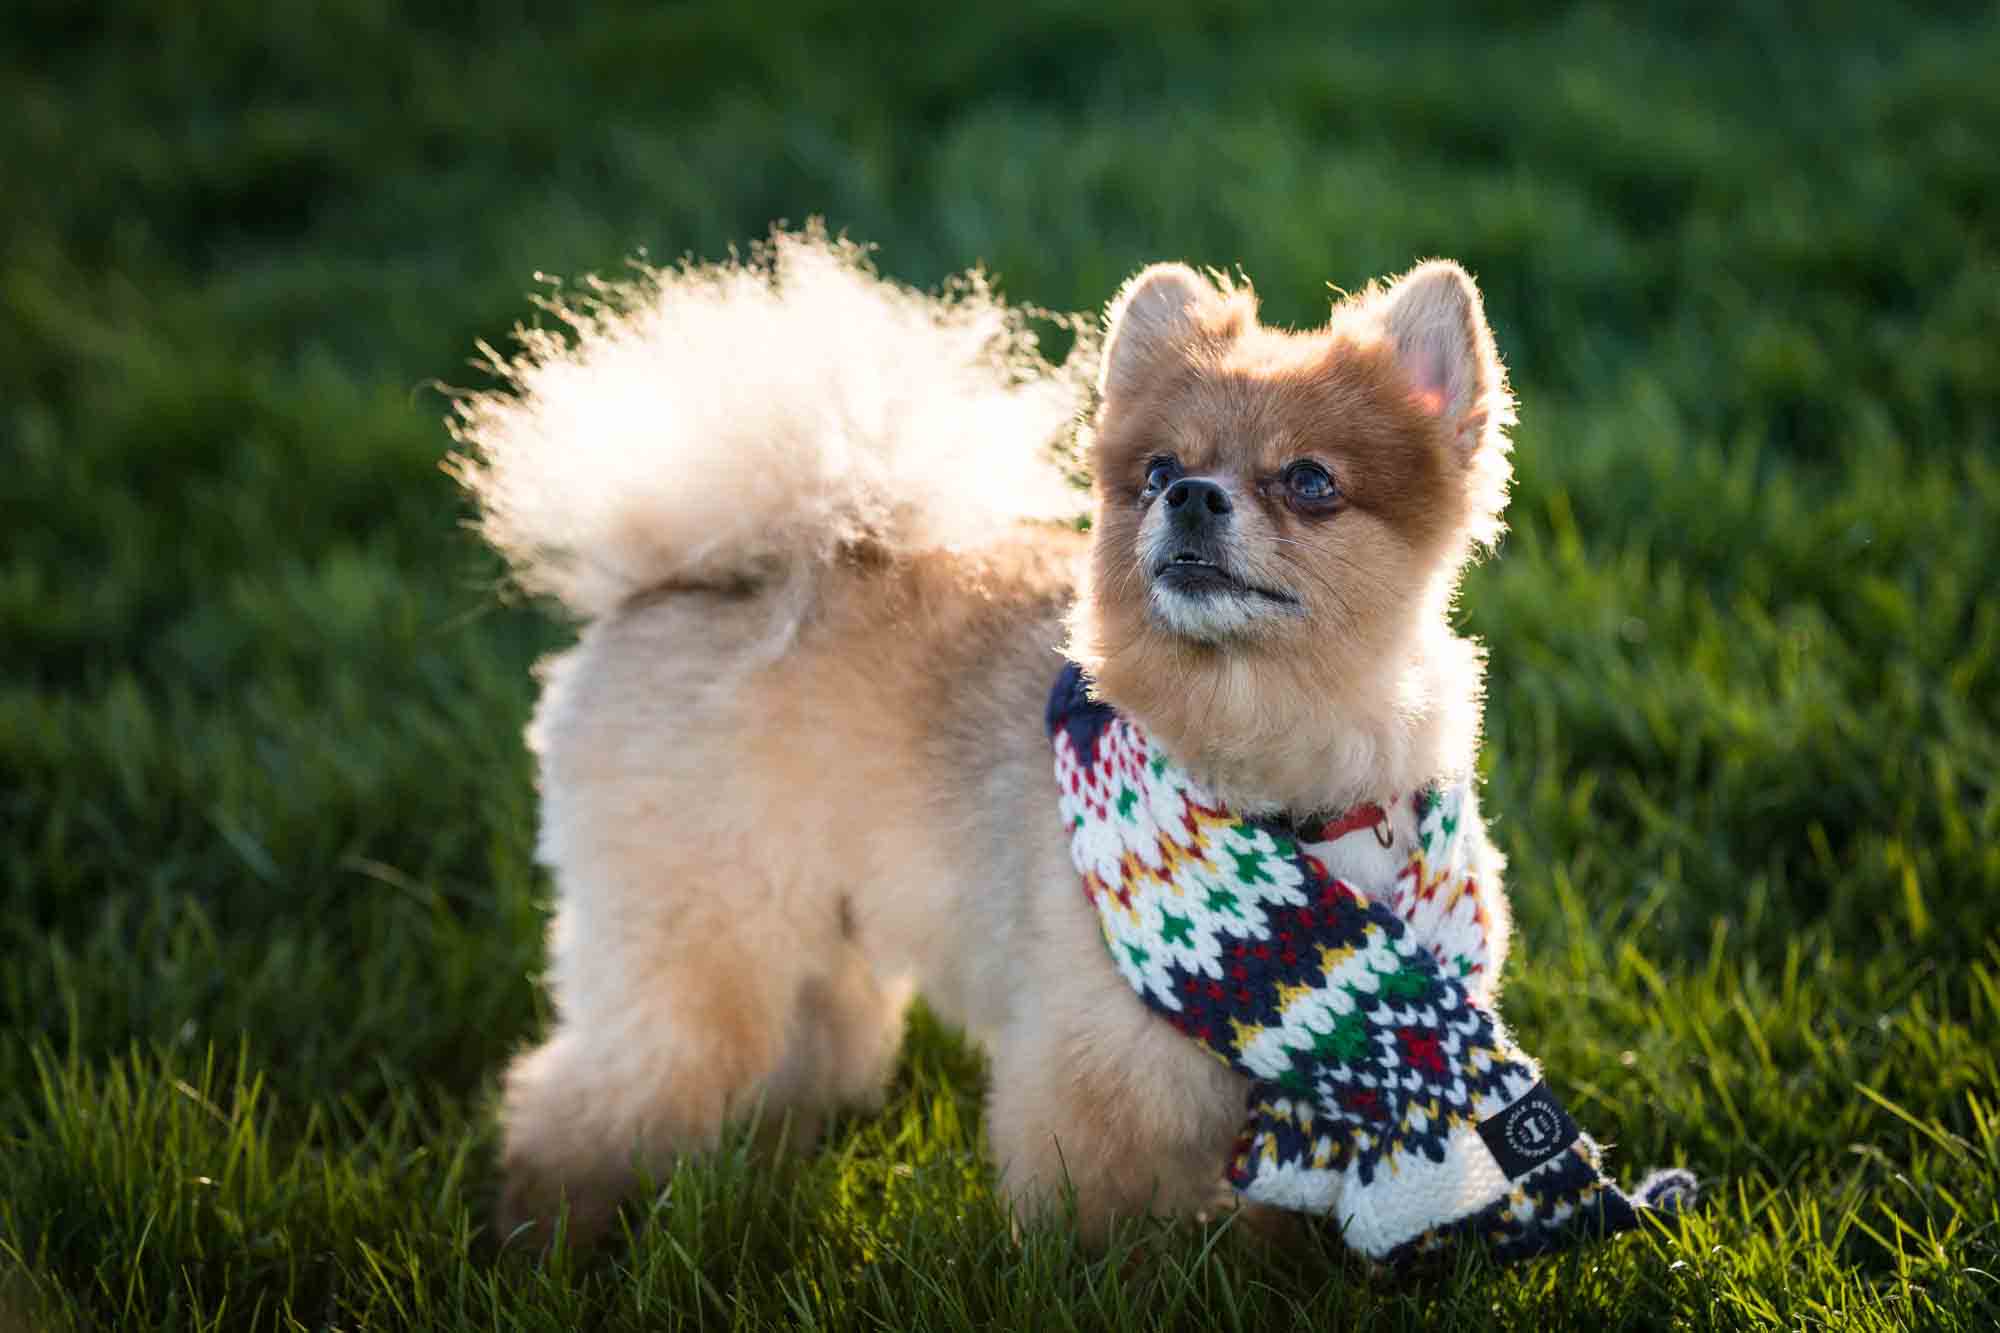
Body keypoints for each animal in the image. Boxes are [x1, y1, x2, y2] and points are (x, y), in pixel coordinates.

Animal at [454, 226, 1512, 1232]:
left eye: (1310, 480)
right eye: (1159, 469)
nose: (1190, 496)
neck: (1278, 773)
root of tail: (682, 580)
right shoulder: (1094, 1079)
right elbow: (1096, 1235)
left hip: (812, 943)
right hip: (701, 946)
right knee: (581, 1099)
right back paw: (545, 1234)